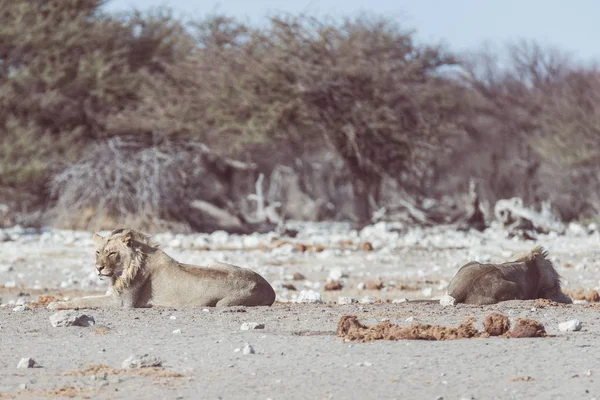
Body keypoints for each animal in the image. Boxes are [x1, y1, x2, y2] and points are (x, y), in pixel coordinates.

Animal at [47, 228, 276, 310]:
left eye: (112, 253)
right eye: (98, 252)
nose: (98, 268)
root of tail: (270, 288)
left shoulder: (122, 302)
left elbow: (84, 300)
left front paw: (56, 304)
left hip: (223, 303)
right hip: (214, 262)